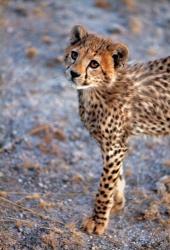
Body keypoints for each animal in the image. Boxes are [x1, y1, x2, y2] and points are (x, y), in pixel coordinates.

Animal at [64, 24, 170, 234]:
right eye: (74, 54)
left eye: (94, 64)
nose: (74, 73)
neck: (96, 91)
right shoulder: (110, 143)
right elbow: (116, 176)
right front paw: (117, 203)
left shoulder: (115, 146)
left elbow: (105, 185)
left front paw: (98, 219)